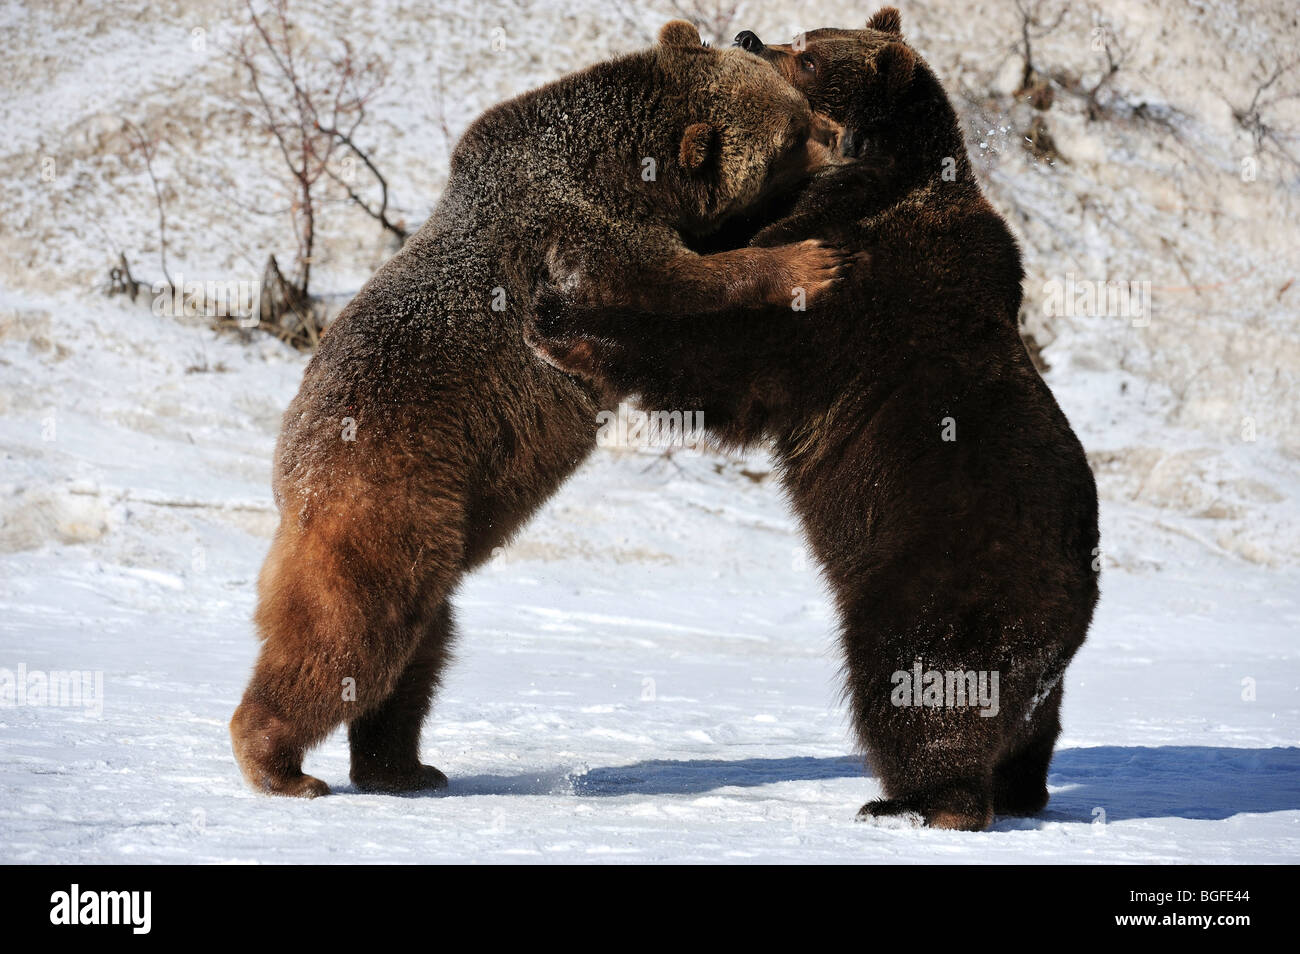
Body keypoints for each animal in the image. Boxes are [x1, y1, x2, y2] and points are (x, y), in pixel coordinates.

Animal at [227, 20, 847, 800]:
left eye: (796, 109)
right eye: (791, 136)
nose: (838, 135)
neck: (616, 164)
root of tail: (288, 476)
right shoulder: (573, 237)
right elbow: (664, 283)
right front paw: (807, 263)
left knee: (417, 654)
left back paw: (403, 766)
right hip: (388, 492)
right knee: (352, 636)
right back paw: (279, 764)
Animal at [522, 7, 1102, 831]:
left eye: (809, 58)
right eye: (803, 33)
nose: (748, 37)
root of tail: (1077, 600)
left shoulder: (849, 299)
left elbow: (720, 349)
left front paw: (562, 316)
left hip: (938, 577)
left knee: (913, 679)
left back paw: (915, 801)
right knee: (1030, 727)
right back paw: (1018, 788)